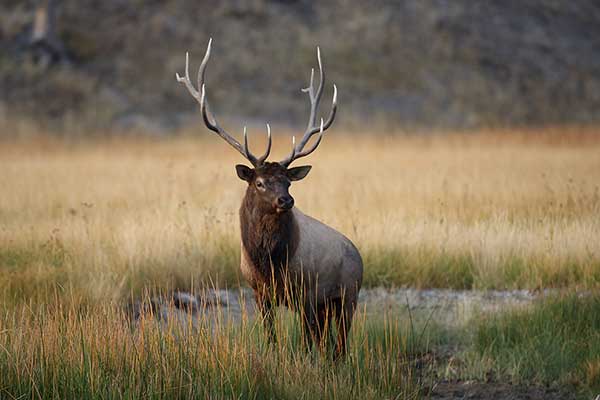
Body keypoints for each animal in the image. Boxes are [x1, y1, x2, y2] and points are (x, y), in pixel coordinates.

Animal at [176, 39, 364, 356]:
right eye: (260, 182)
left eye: (288, 182)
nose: (286, 201)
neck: (269, 265)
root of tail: (358, 254)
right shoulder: (259, 292)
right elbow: (272, 336)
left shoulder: (306, 292)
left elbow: (307, 342)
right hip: (328, 304)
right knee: (329, 342)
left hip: (347, 295)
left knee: (339, 344)